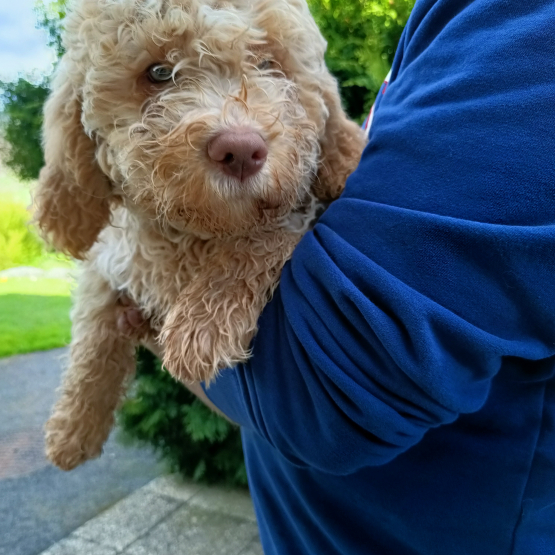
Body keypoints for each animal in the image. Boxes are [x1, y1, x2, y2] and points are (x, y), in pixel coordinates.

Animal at [35, 0, 364, 472]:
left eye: (268, 65)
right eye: (158, 72)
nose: (241, 149)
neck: (194, 235)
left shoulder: (302, 214)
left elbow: (263, 237)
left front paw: (200, 329)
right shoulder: (111, 258)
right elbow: (92, 326)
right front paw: (73, 426)